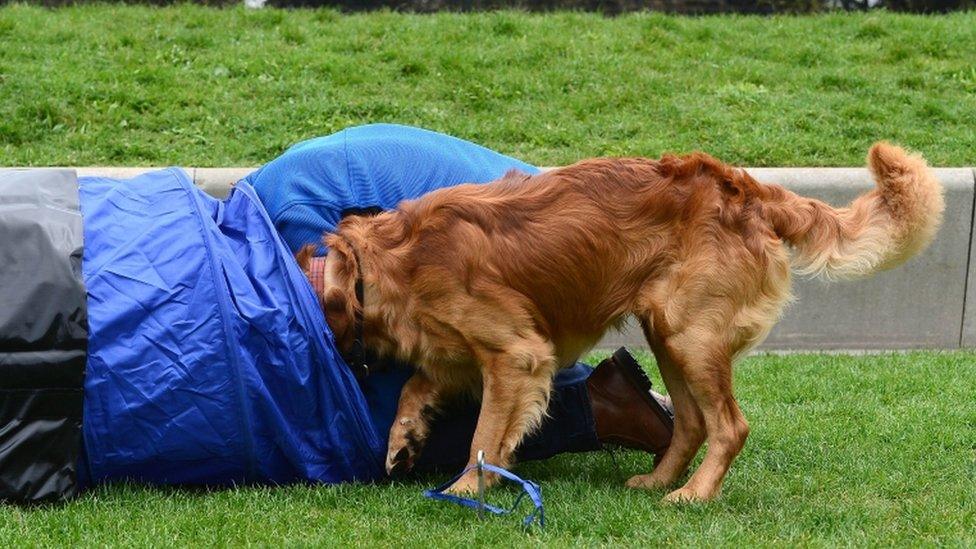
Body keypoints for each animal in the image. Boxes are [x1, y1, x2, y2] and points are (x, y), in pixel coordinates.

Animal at [306, 142, 944, 500]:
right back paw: (660, 481)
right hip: (669, 334)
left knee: (729, 426)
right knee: (692, 423)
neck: (388, 261)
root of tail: (745, 187)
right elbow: (416, 386)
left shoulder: (516, 352)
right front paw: (403, 439)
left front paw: (466, 489)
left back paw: (693, 496)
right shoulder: (457, 355)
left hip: (691, 334)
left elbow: (485, 437)